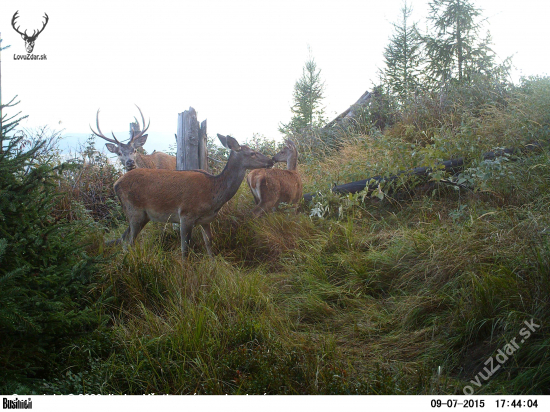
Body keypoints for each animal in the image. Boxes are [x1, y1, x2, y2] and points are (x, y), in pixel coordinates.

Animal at [111, 134, 274, 258]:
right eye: (252, 153)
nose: (271, 160)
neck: (213, 194)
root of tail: (116, 184)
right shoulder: (185, 215)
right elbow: (185, 249)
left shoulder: (206, 220)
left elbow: (209, 242)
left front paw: (213, 264)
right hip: (134, 211)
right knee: (129, 242)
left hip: (142, 216)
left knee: (125, 240)